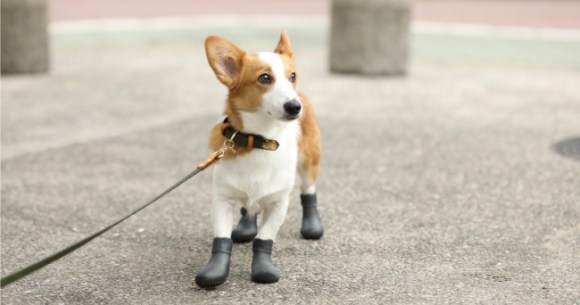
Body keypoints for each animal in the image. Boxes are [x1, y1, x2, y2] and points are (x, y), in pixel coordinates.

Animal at [194, 32, 322, 286]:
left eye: (292, 76)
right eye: (264, 78)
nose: (295, 107)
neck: (259, 140)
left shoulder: (279, 204)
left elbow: (264, 239)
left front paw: (263, 269)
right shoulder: (222, 201)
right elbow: (222, 238)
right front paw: (215, 271)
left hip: (308, 163)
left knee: (308, 191)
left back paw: (312, 226)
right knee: (248, 208)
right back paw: (245, 227)